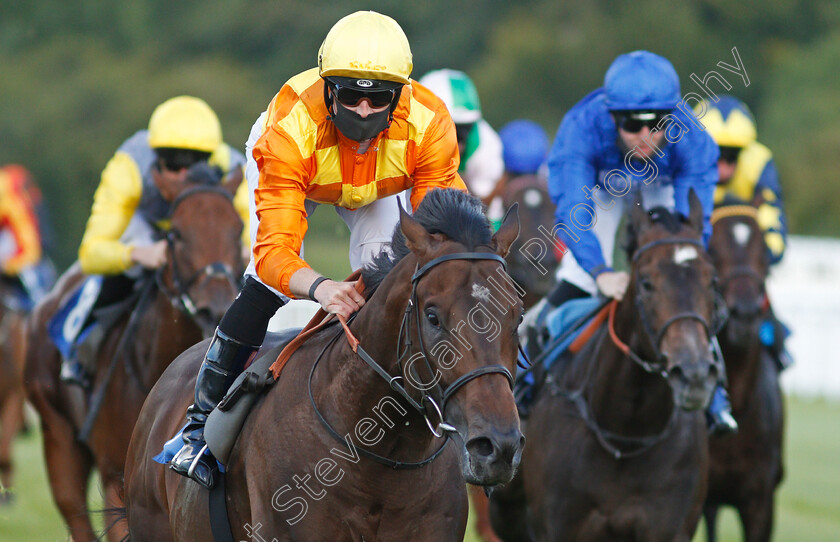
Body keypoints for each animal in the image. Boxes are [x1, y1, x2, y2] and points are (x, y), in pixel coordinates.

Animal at [492, 194, 720, 542]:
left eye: (712, 281)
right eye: (646, 282)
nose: (693, 374)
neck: (626, 432)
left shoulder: (670, 527)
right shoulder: (557, 527)